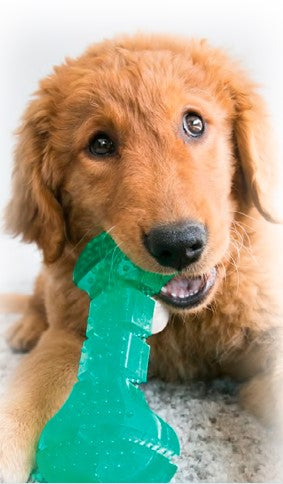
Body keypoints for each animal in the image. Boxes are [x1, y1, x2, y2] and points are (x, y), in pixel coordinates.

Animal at [0, 33, 283, 480]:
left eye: (194, 123)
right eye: (100, 144)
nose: (179, 244)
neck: (185, 320)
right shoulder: (70, 333)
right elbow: (25, 396)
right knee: (36, 295)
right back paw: (26, 328)